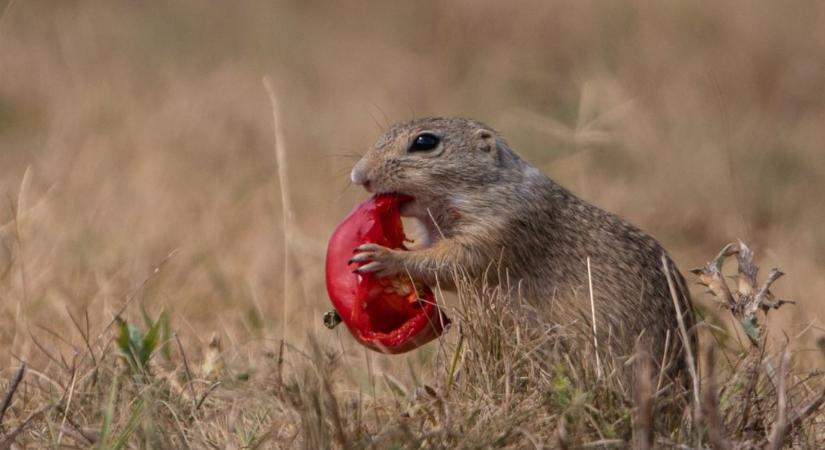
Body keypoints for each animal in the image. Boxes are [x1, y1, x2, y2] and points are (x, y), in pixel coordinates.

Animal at [348, 117, 696, 384]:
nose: (357, 175)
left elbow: (451, 263)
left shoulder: (498, 230)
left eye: (424, 141)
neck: (485, 187)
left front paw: (384, 257)